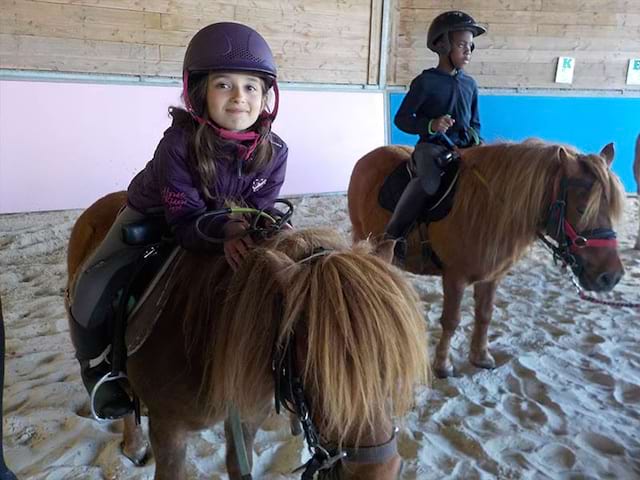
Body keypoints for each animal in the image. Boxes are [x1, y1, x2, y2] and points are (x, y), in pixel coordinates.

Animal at [66, 192, 430, 480]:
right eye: (316, 370)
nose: (378, 471)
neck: (210, 336)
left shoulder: (247, 416)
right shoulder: (169, 430)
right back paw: (132, 440)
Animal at [350, 140, 624, 378]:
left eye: (610, 209)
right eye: (582, 209)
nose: (610, 276)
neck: (490, 208)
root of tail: (366, 159)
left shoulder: (492, 277)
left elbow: (485, 315)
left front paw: (480, 357)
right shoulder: (455, 277)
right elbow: (451, 320)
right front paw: (443, 365)